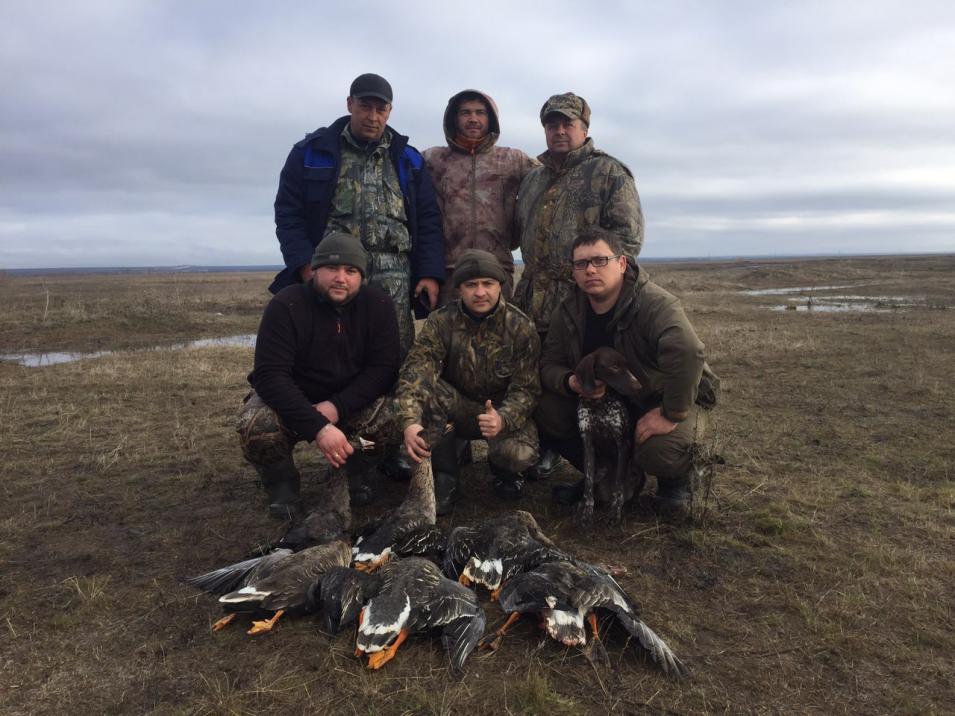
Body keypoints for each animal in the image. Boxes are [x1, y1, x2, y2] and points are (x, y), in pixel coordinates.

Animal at [574, 347, 644, 526]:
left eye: (626, 364)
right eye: (614, 366)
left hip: (638, 472)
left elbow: (618, 485)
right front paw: (586, 512)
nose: (639, 386)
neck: (598, 403)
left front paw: (615, 512)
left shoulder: (622, 444)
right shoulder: (588, 444)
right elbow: (588, 485)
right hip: (600, 473)